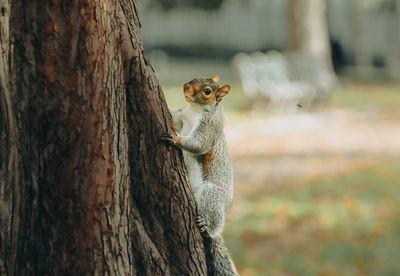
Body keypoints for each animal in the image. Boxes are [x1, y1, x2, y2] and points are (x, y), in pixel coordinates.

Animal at [162, 76, 239, 276]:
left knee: (212, 220)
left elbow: (198, 143)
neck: (194, 110)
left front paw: (177, 139)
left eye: (207, 91)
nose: (185, 86)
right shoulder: (180, 116)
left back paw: (206, 226)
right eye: (193, 79)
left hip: (212, 195)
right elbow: (172, 114)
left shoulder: (209, 128)